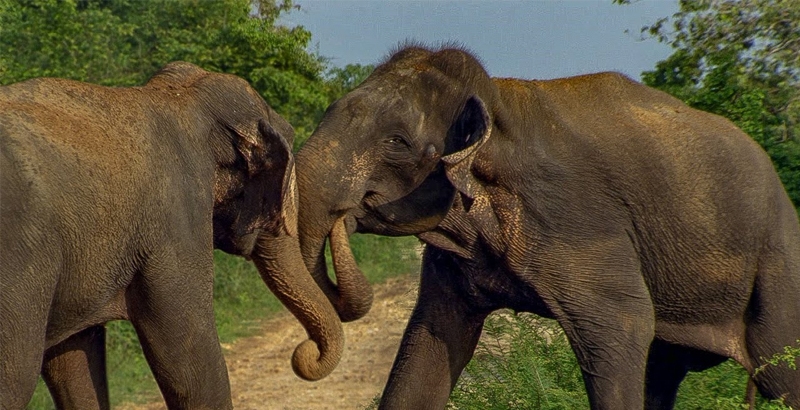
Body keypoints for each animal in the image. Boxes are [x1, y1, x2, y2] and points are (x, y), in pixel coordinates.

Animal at [0, 61, 344, 410]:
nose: (307, 352)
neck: (179, 99)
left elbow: (74, 362)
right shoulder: (176, 219)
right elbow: (188, 355)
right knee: (16, 377)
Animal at [294, 45, 800, 410]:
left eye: (396, 142)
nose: (345, 215)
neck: (497, 106)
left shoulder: (579, 218)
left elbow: (624, 325)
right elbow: (430, 340)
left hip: (779, 261)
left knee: (780, 370)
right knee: (663, 369)